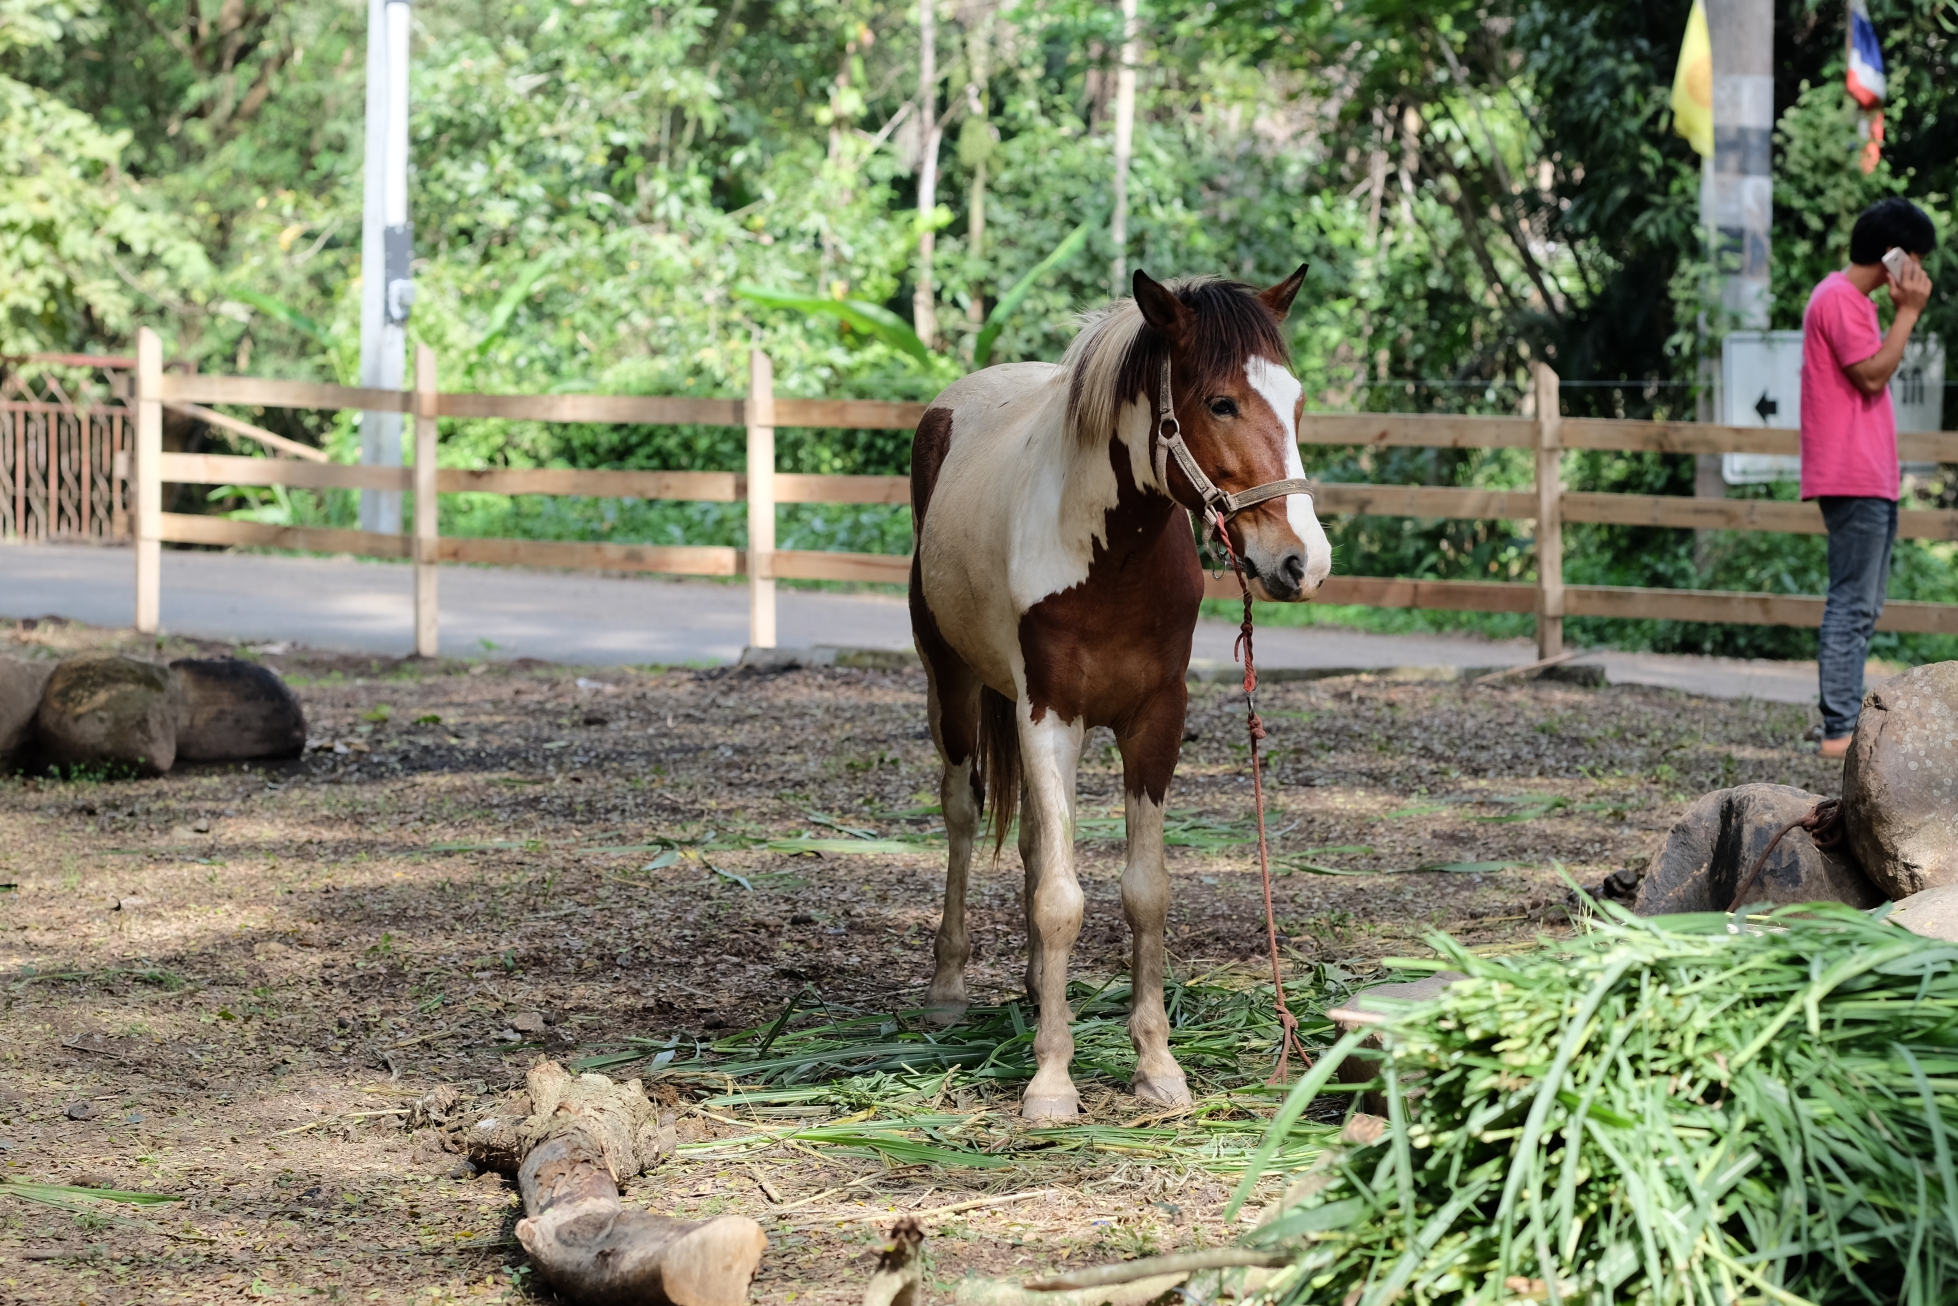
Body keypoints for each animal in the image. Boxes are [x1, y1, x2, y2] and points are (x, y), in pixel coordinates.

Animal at [907, 267, 1332, 1120]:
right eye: (1221, 403)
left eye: (1295, 400)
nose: (1305, 562)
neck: (1109, 562)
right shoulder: (1048, 717)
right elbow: (1062, 900)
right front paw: (1051, 1081)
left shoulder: (1156, 720)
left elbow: (1143, 893)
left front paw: (1157, 1066)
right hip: (953, 685)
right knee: (964, 816)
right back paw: (949, 988)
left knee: (1034, 842)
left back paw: (1035, 989)